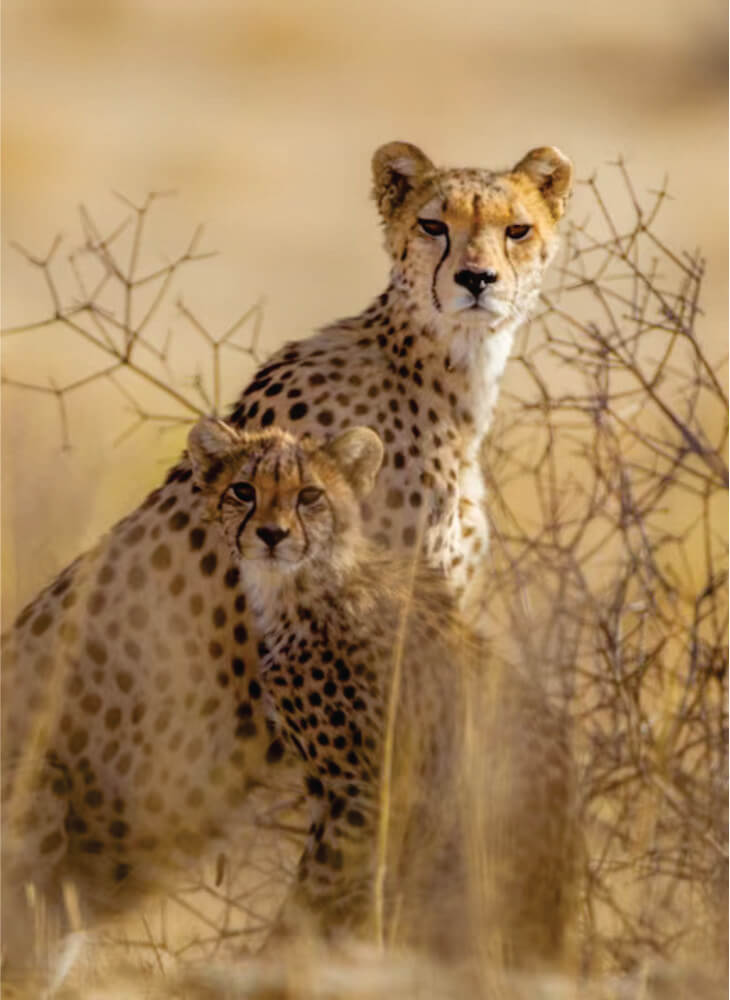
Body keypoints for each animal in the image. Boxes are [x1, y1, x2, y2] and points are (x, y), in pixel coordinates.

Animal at [191, 418, 576, 964]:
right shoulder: (337, 791)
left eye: (310, 495)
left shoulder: (365, 792)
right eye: (243, 490)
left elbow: (313, 894)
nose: (271, 535)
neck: (301, 586)